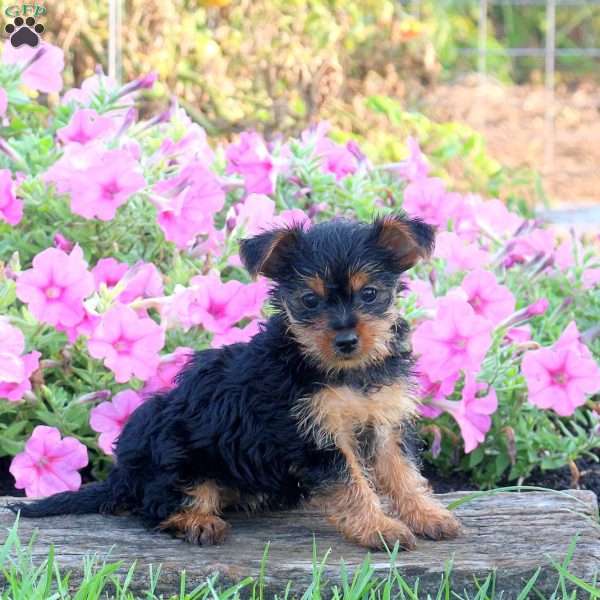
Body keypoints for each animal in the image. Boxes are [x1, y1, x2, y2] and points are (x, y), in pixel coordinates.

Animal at [8, 214, 460, 548]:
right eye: (308, 300)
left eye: (370, 294)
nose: (347, 339)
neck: (347, 372)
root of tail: (123, 476)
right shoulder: (315, 436)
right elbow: (352, 483)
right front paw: (380, 529)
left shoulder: (385, 422)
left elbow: (403, 473)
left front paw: (427, 515)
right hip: (173, 448)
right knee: (157, 504)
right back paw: (196, 521)